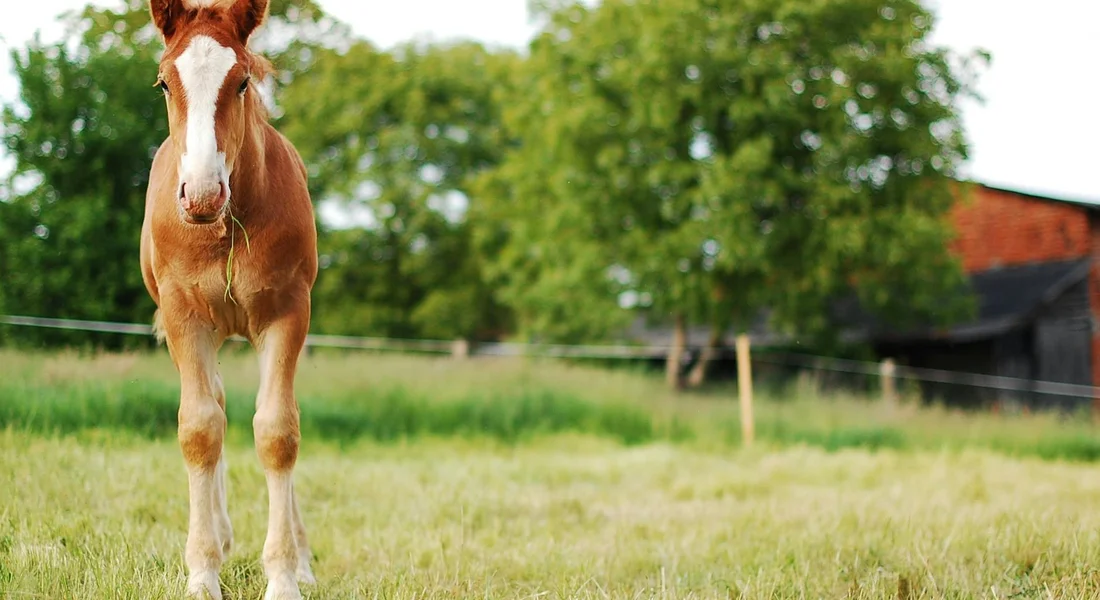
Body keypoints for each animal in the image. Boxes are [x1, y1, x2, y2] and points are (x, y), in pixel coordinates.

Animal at [139, 0, 319, 598]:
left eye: (241, 81)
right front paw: (202, 572)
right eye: (163, 82)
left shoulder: (288, 312)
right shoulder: (184, 316)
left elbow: (278, 430)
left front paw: (285, 575)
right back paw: (217, 534)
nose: (200, 194)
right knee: (212, 406)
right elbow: (199, 428)